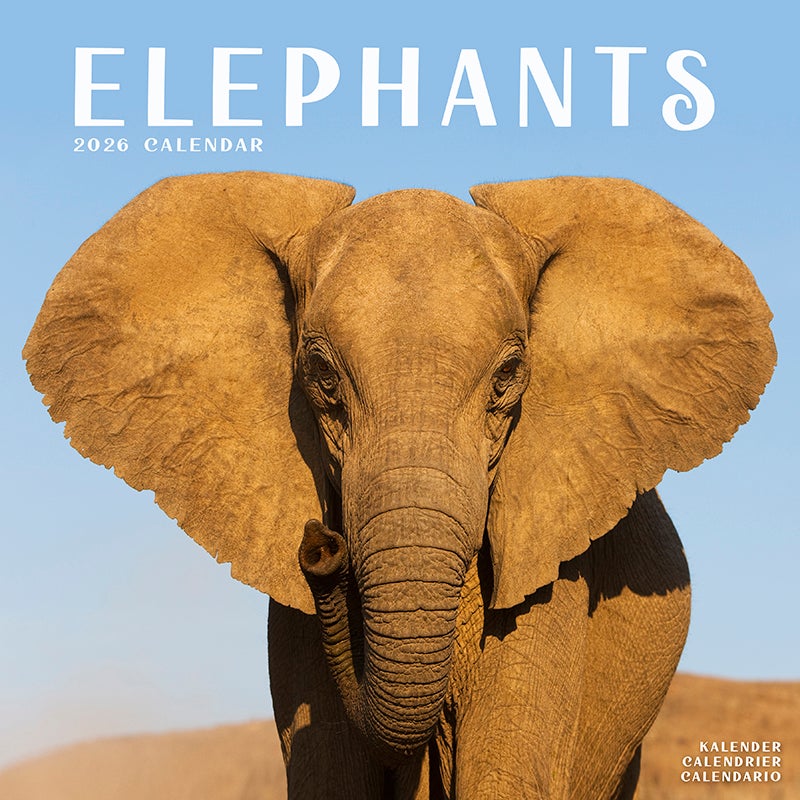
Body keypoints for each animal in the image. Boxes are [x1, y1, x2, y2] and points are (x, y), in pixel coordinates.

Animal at [24, 172, 775, 799]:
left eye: (509, 377)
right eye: (322, 377)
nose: (321, 547)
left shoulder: (556, 575)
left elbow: (504, 778)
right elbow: (329, 777)